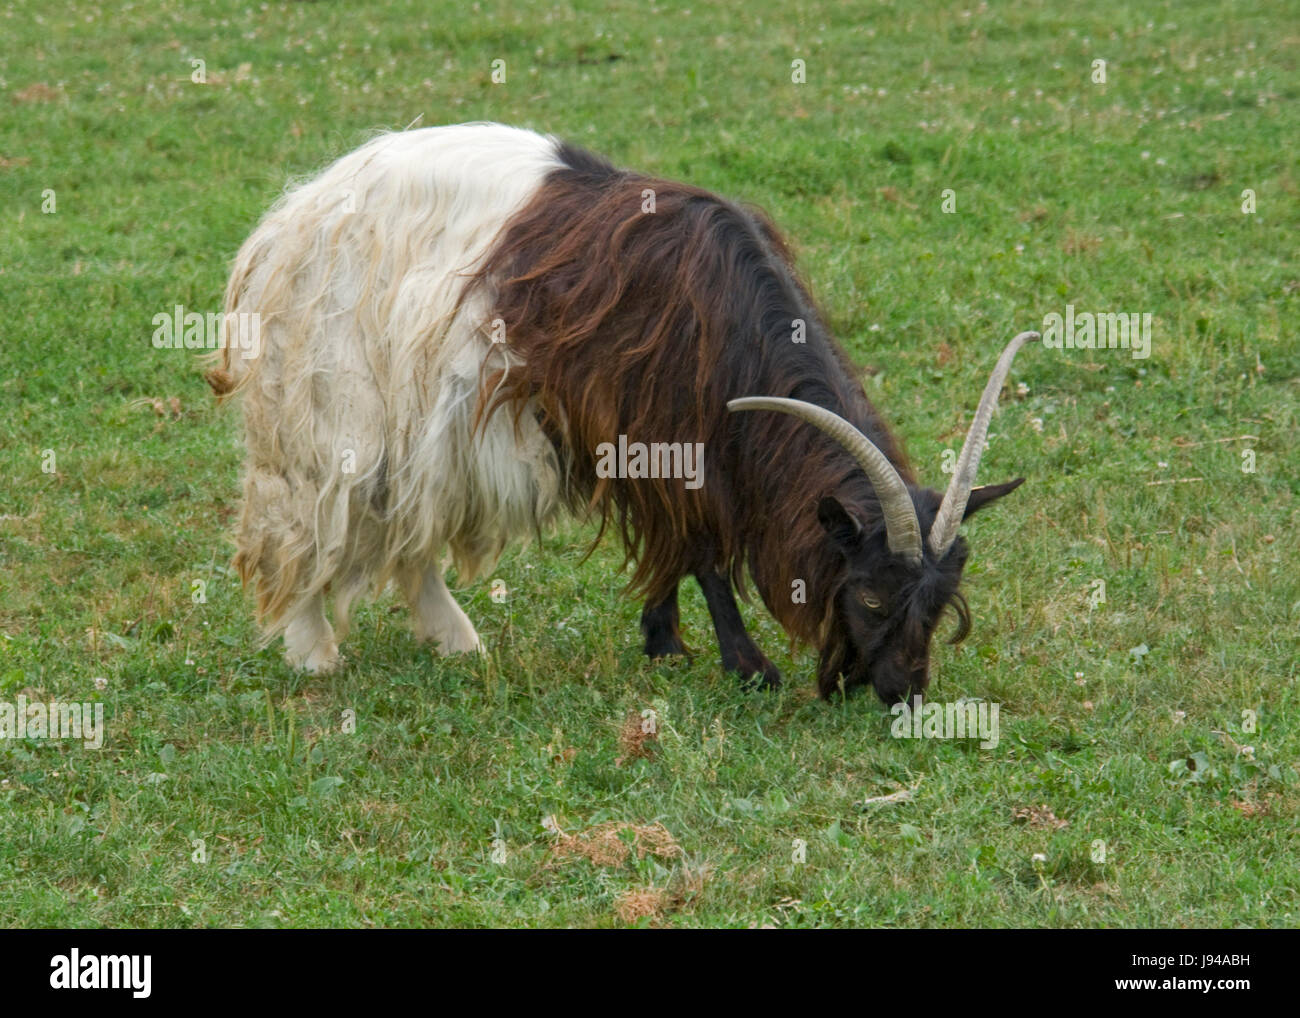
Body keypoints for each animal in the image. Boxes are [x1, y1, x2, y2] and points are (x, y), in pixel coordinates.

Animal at [209, 123, 1035, 702]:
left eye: (941, 601)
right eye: (868, 592)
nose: (899, 692)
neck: (724, 315)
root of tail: (287, 219)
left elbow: (672, 546)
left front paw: (662, 641)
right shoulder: (656, 433)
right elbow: (701, 551)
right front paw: (748, 666)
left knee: (410, 526)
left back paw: (454, 639)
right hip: (336, 404)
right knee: (306, 517)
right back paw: (314, 650)